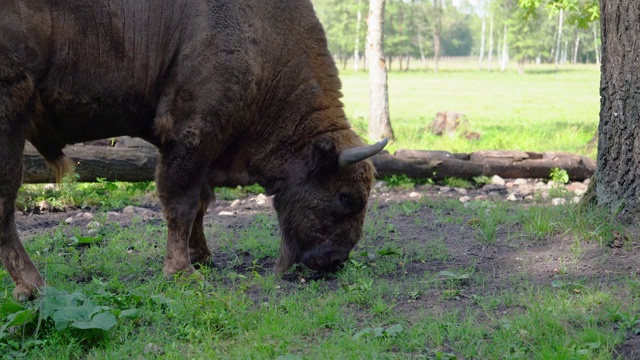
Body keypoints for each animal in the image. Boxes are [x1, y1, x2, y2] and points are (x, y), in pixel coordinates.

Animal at [0, 0, 384, 300]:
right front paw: (182, 272)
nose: (336, 260)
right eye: (346, 197)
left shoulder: (209, 149)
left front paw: (202, 257)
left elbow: (200, 203)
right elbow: (181, 204)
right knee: (6, 203)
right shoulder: (191, 134)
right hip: (10, 118)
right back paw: (33, 287)